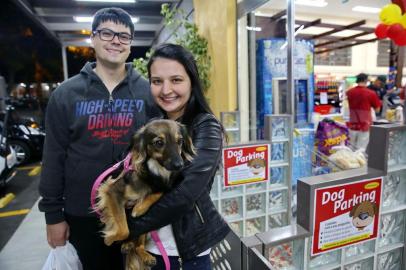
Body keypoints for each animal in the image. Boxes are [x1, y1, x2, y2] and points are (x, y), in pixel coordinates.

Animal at [96, 120, 196, 270]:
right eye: (159, 142)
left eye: (180, 141)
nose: (180, 165)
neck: (154, 170)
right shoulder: (112, 191)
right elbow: (123, 229)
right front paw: (109, 239)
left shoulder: (163, 186)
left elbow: (158, 192)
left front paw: (139, 208)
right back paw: (127, 244)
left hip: (149, 226)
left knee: (138, 246)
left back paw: (143, 254)